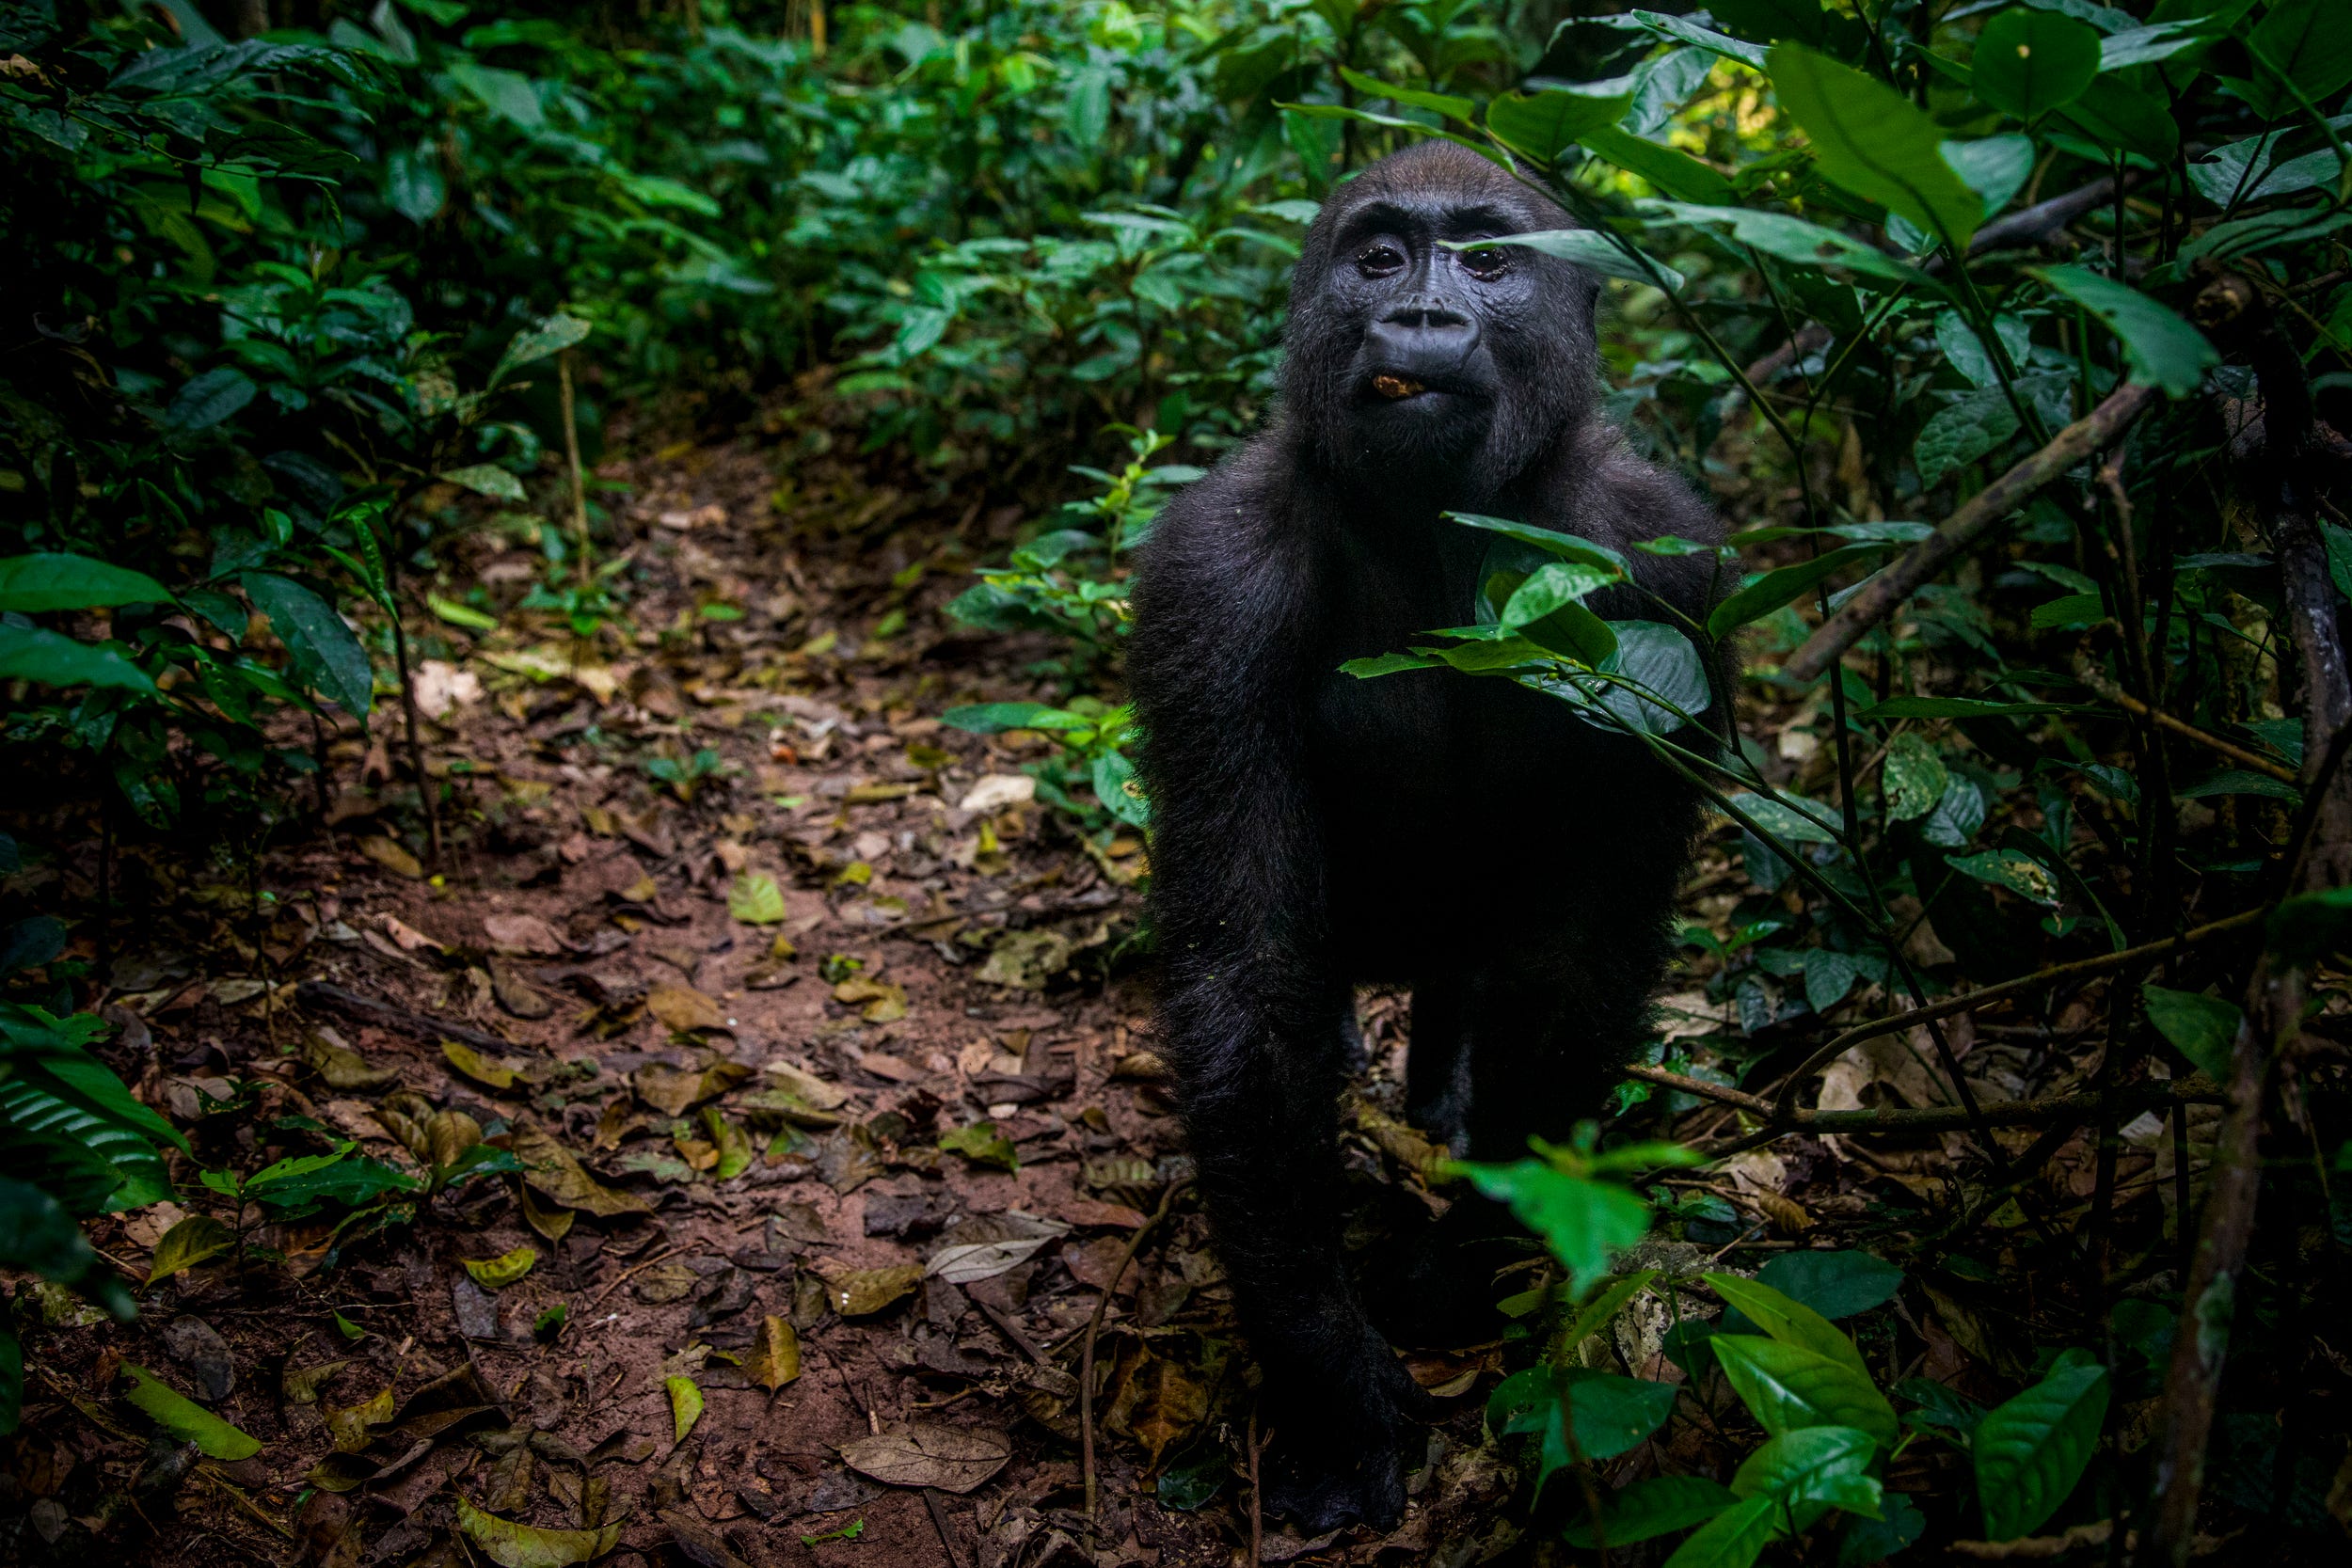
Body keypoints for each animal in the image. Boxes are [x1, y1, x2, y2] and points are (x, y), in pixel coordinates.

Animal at [1129, 144, 1722, 1532]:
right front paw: (1328, 1371)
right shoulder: (1210, 576)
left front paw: (1458, 1267)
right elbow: (1248, 973)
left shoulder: (1661, 572)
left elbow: (1572, 962)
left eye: (1491, 262)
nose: (1421, 318)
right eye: (1382, 257)